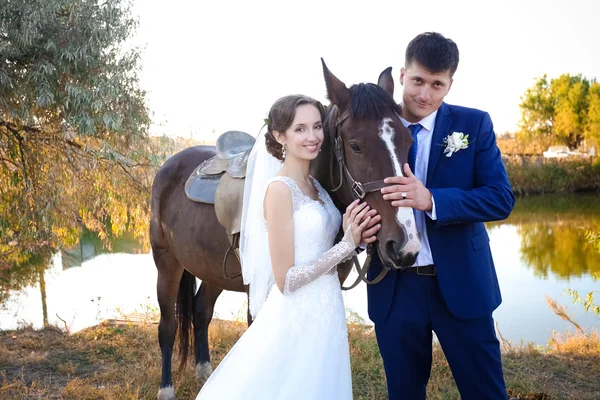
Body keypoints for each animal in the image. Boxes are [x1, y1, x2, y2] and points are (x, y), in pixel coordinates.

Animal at [152, 61, 420, 398]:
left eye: (408, 142)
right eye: (355, 146)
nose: (405, 246)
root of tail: (169, 164)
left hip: (212, 269)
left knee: (201, 311)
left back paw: (204, 373)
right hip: (166, 262)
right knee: (168, 325)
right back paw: (166, 387)